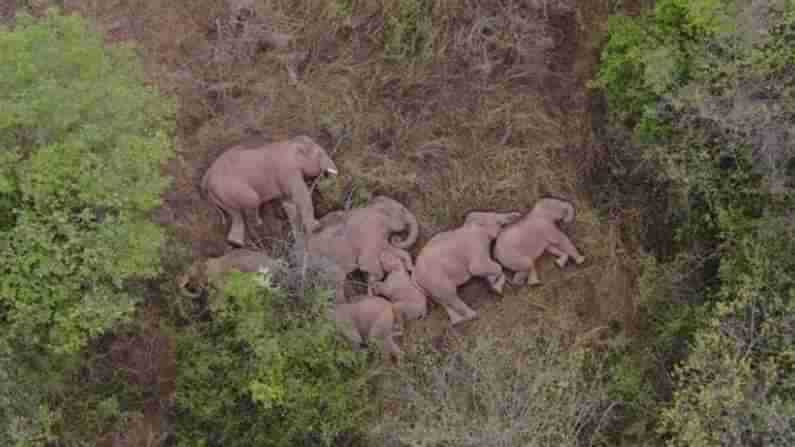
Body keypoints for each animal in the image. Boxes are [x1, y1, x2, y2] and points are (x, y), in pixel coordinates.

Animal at [202, 136, 338, 248]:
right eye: (320, 154)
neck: (290, 143)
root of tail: (206, 179)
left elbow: (289, 204)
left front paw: (299, 239)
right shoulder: (288, 171)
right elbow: (300, 196)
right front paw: (317, 228)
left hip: (221, 196)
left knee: (235, 215)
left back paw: (237, 244)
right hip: (232, 190)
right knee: (250, 205)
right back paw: (256, 229)